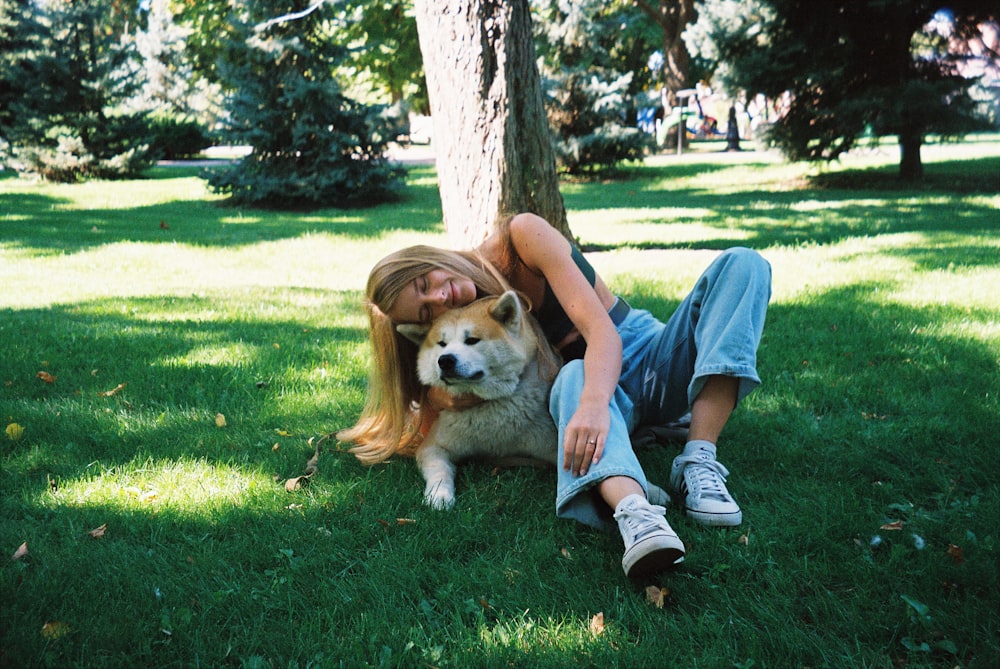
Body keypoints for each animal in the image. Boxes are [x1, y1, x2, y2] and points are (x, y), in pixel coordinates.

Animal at [394, 290, 560, 508]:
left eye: (472, 340)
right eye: (442, 344)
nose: (445, 360)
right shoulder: (434, 446)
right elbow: (440, 469)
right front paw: (439, 494)